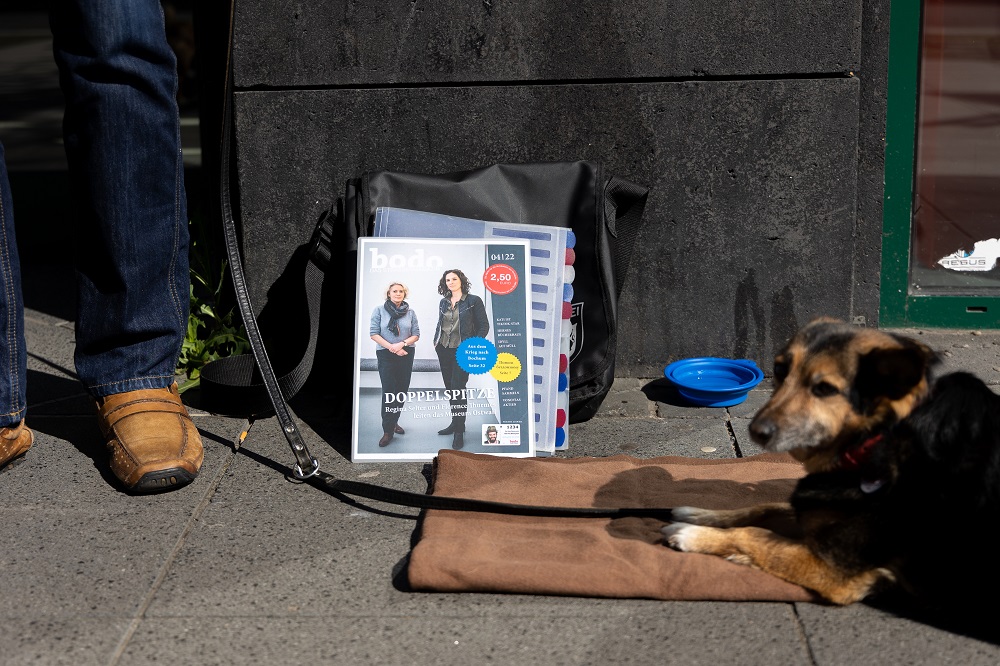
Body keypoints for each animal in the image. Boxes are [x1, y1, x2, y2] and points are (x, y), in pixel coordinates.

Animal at [664, 316, 1000, 608]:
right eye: (780, 370)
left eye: (825, 389)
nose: (756, 431)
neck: (873, 440)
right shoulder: (815, 511)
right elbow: (765, 507)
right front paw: (700, 515)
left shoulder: (834, 569)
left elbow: (757, 534)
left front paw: (693, 535)